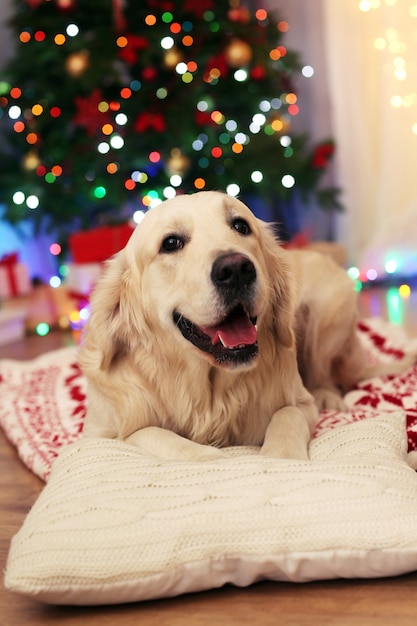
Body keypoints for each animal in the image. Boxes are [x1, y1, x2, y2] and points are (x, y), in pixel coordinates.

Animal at [79, 193, 416, 460]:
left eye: (240, 226)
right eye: (171, 243)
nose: (236, 269)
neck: (206, 390)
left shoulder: (299, 402)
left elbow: (287, 414)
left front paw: (279, 460)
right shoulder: (97, 432)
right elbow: (150, 434)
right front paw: (216, 460)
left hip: (328, 308)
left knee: (327, 376)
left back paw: (327, 395)